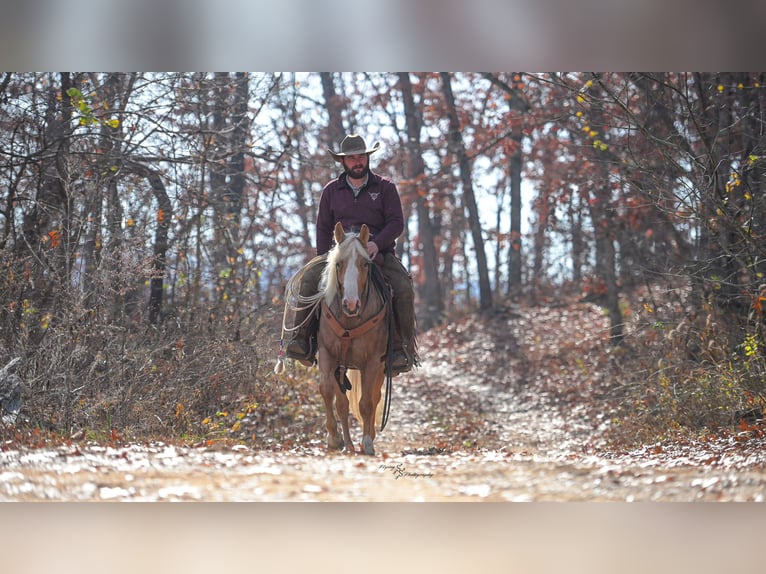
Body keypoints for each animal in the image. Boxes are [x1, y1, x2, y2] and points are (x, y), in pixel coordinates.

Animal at [316, 222, 392, 455]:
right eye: (338, 264)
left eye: (365, 264)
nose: (351, 304)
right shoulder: (328, 355)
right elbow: (328, 392)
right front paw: (335, 439)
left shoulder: (373, 361)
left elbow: (367, 403)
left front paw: (367, 443)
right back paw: (348, 444)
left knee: (375, 398)